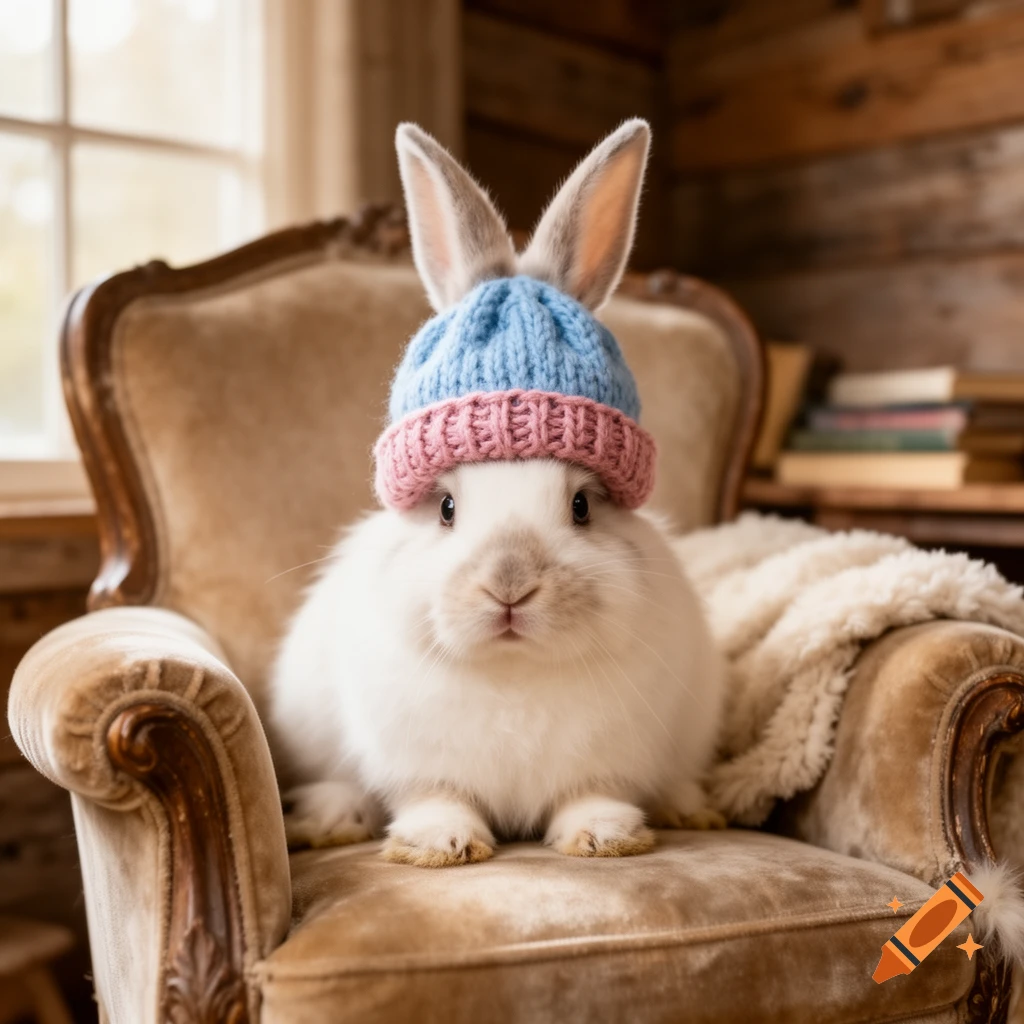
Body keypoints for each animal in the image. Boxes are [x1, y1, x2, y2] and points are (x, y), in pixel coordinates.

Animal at [267, 117, 726, 866]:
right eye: (447, 507)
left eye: (581, 505)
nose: (508, 587)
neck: (515, 672)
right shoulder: (418, 763)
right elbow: (435, 796)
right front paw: (443, 843)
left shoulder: (610, 758)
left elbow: (593, 791)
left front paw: (603, 837)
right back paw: (331, 821)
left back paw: (692, 808)